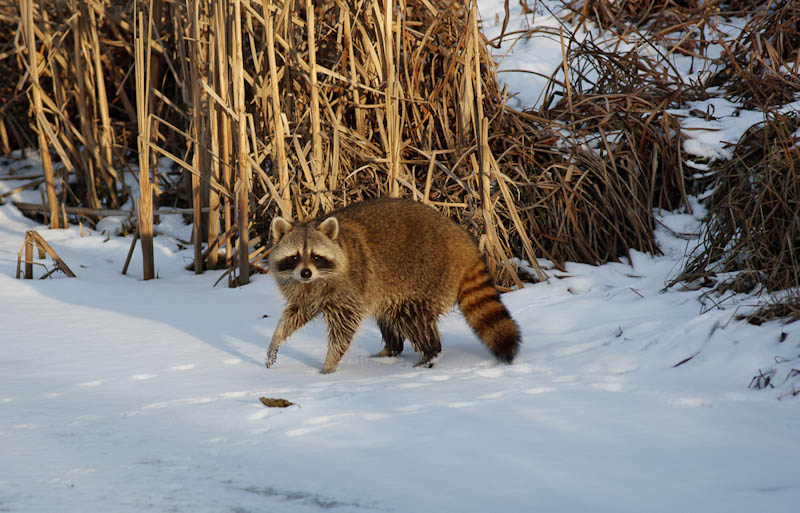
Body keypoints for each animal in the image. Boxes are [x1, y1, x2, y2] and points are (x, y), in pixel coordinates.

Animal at [266, 197, 520, 372]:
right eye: (295, 257)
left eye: (316, 257)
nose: (305, 272)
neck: (316, 280)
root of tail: (464, 242)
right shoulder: (304, 291)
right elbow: (296, 314)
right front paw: (277, 337)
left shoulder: (350, 287)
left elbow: (344, 327)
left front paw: (330, 364)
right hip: (387, 288)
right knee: (388, 315)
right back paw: (392, 349)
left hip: (429, 277)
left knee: (413, 318)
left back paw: (430, 352)